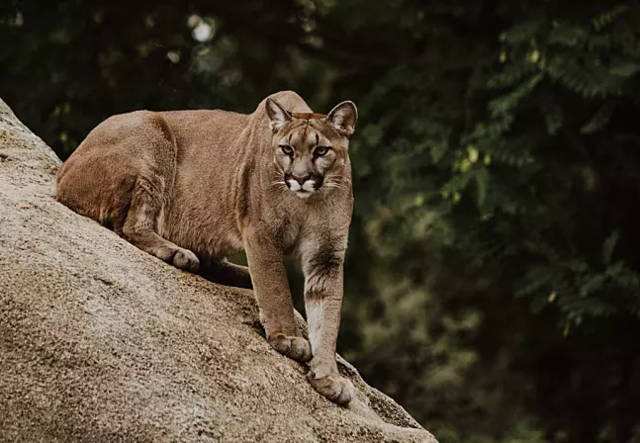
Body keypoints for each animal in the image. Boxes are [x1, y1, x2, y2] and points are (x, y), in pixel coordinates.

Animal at [55, 90, 360, 406]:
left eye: (321, 151)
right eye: (287, 149)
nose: (299, 179)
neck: (307, 202)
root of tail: (62, 172)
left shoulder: (326, 257)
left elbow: (327, 319)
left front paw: (328, 378)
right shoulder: (261, 233)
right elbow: (275, 289)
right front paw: (288, 338)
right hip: (152, 141)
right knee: (131, 225)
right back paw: (178, 254)